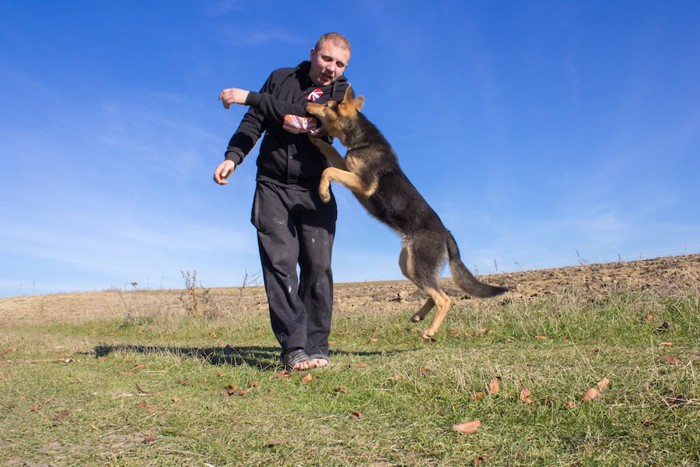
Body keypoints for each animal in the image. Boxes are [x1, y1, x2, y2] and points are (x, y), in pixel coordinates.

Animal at [306, 87, 508, 340]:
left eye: (326, 105)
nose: (306, 105)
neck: (361, 138)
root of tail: (446, 233)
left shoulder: (362, 183)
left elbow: (328, 171)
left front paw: (323, 193)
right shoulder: (348, 167)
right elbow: (332, 152)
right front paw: (316, 141)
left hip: (416, 265)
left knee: (444, 298)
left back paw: (430, 331)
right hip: (409, 264)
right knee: (434, 292)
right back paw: (419, 316)